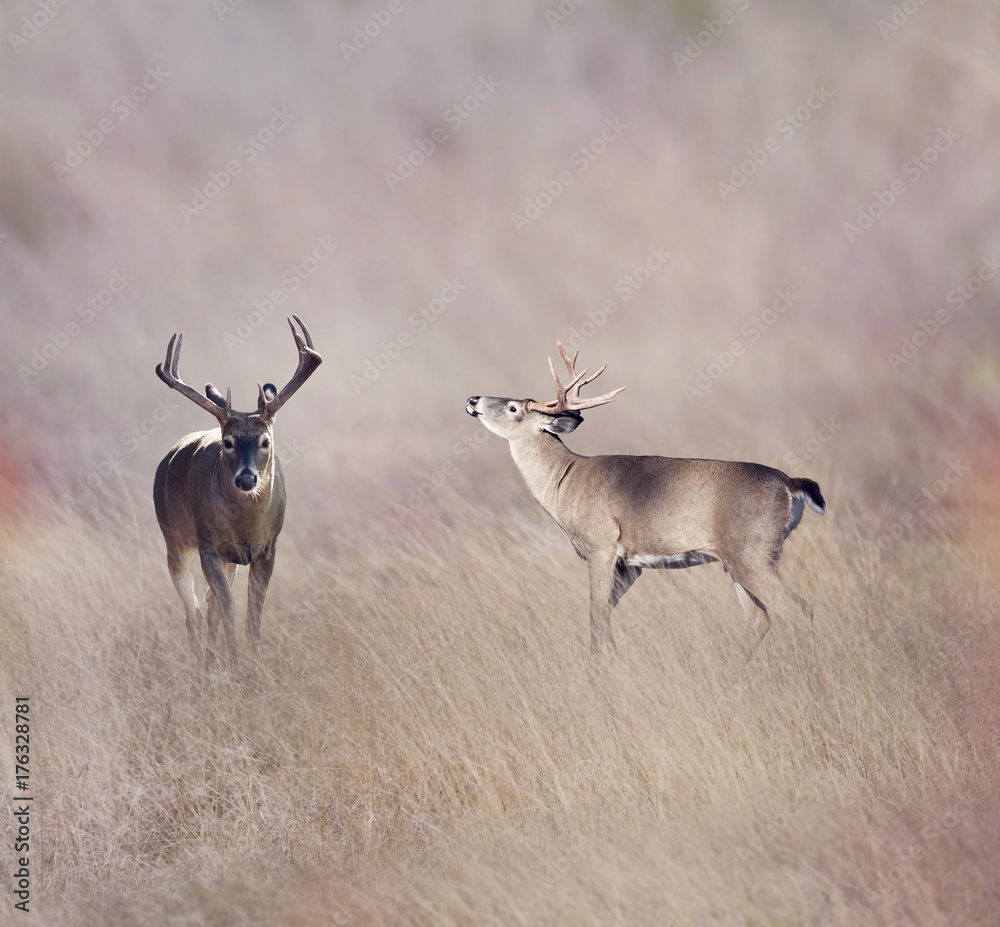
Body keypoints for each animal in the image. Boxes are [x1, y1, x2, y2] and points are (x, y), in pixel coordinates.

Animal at [152, 316, 320, 664]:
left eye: (265, 441)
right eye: (227, 442)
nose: (245, 480)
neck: (247, 526)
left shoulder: (268, 547)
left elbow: (252, 612)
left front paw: (250, 667)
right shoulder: (208, 546)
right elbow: (228, 606)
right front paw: (236, 664)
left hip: (228, 559)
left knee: (207, 606)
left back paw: (211, 661)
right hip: (173, 538)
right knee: (193, 611)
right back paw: (202, 665)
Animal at [464, 340, 824, 676]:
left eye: (513, 408)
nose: (472, 399)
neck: (564, 482)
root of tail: (789, 483)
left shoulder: (601, 545)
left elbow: (595, 613)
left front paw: (599, 674)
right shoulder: (630, 564)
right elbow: (605, 613)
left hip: (752, 550)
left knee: (800, 610)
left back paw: (811, 684)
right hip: (736, 560)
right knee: (759, 619)